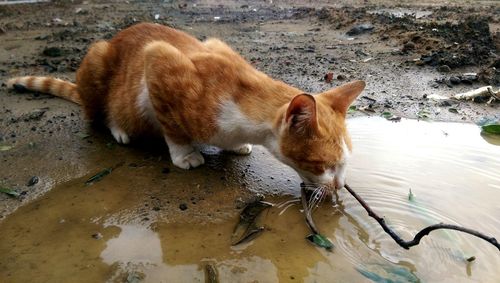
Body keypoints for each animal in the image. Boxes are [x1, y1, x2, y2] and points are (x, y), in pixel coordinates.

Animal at [7, 22, 366, 191]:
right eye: (323, 165)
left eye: (345, 164)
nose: (339, 185)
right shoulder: (159, 62)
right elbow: (171, 125)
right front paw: (185, 155)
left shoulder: (215, 43)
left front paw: (236, 147)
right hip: (97, 58)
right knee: (98, 113)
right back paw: (119, 128)